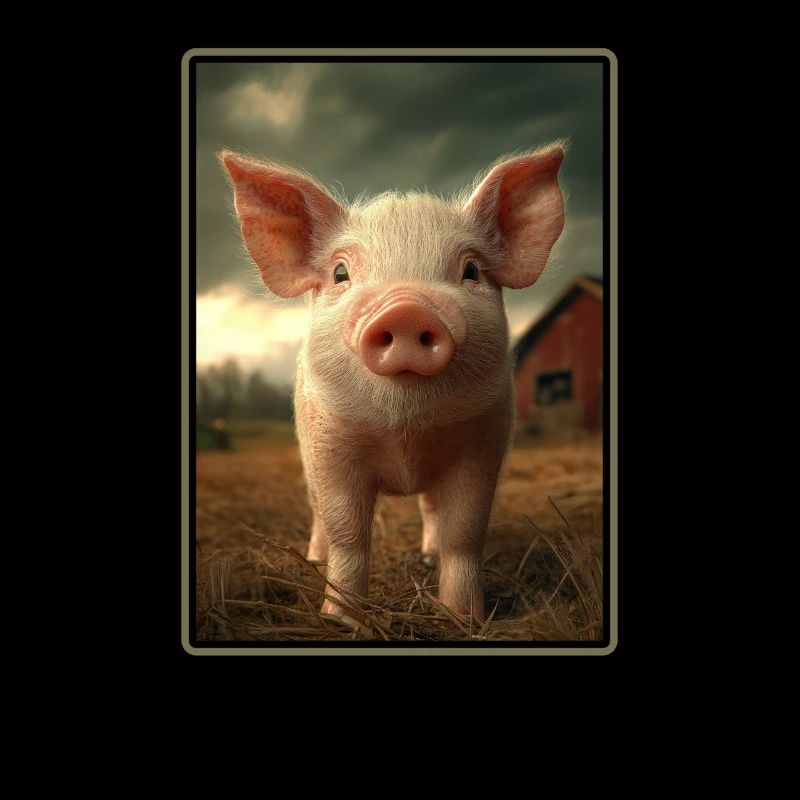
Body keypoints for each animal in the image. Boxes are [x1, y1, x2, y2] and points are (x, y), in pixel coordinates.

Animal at [220, 143, 565, 626]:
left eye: (471, 270)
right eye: (340, 273)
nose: (406, 309)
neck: (405, 433)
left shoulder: (483, 443)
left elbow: (464, 533)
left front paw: (465, 619)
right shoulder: (331, 446)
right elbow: (348, 535)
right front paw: (340, 620)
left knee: (431, 510)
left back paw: (427, 557)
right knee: (319, 514)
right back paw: (314, 558)